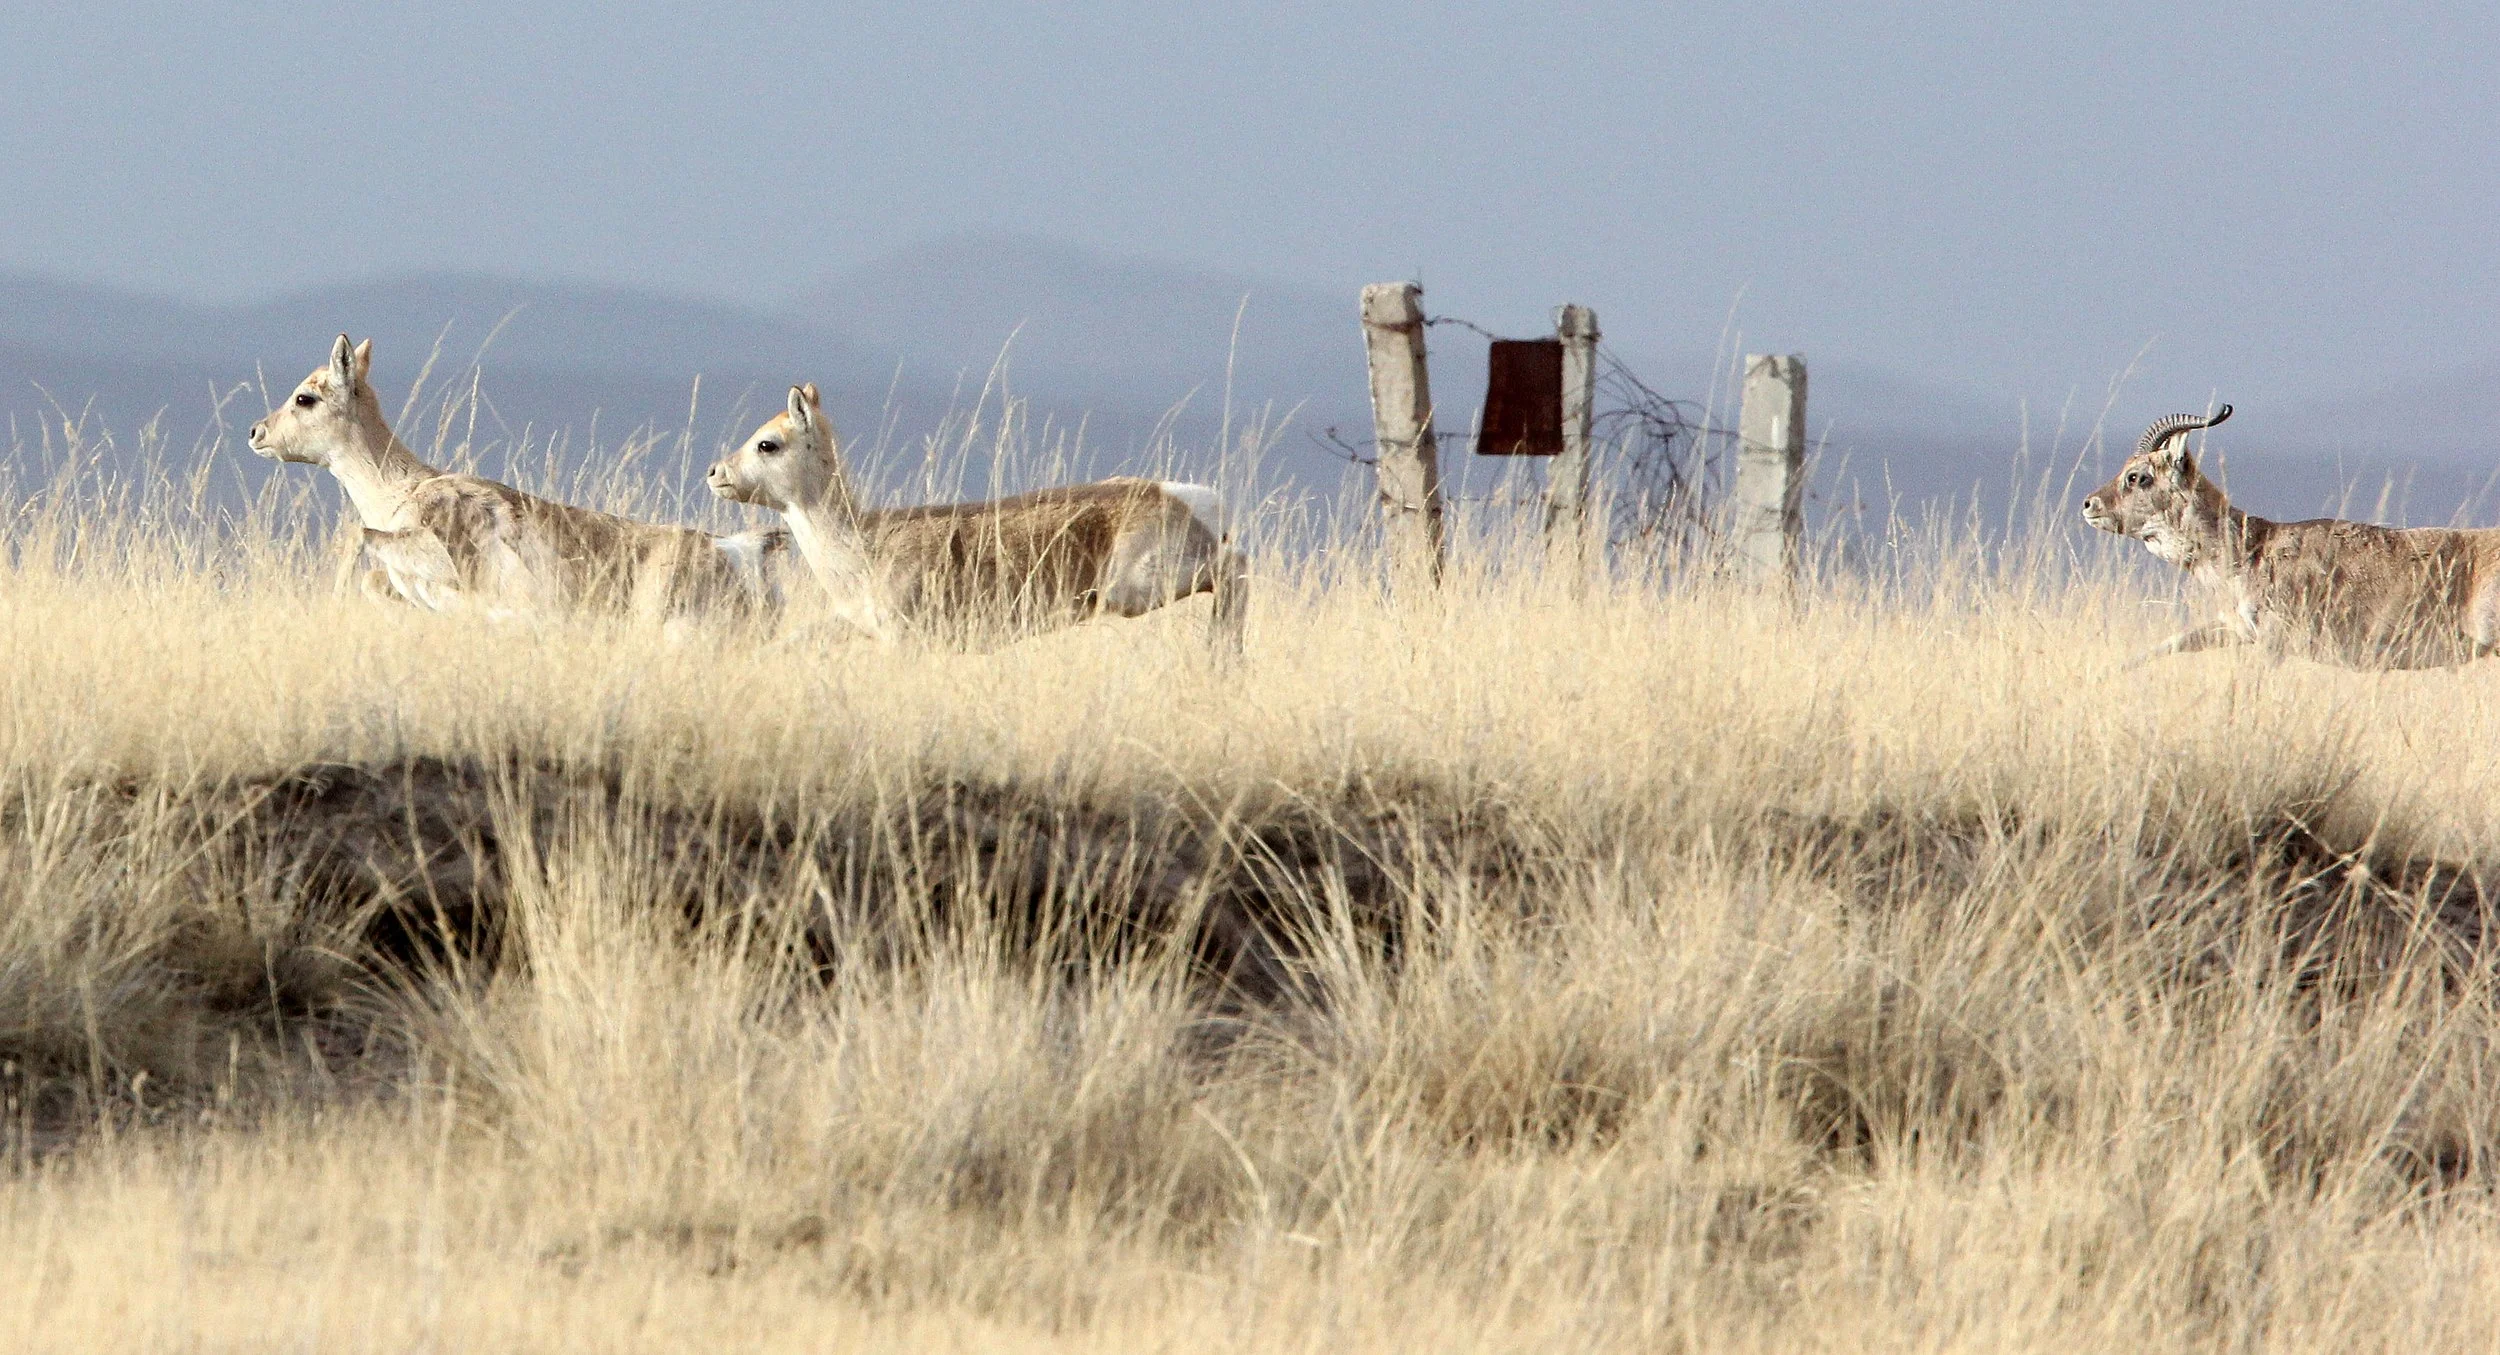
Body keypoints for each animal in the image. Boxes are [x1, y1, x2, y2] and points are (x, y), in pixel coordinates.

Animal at [706, 383, 1248, 653]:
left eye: (768, 443)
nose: (715, 473)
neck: (862, 544)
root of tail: (1191, 497)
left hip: (1140, 588)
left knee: (1236, 567)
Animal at [2083, 404, 2500, 668]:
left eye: (2137, 476)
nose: (2089, 504)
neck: (2253, 548)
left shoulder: (2272, 642)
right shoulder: (2237, 628)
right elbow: (2172, 642)